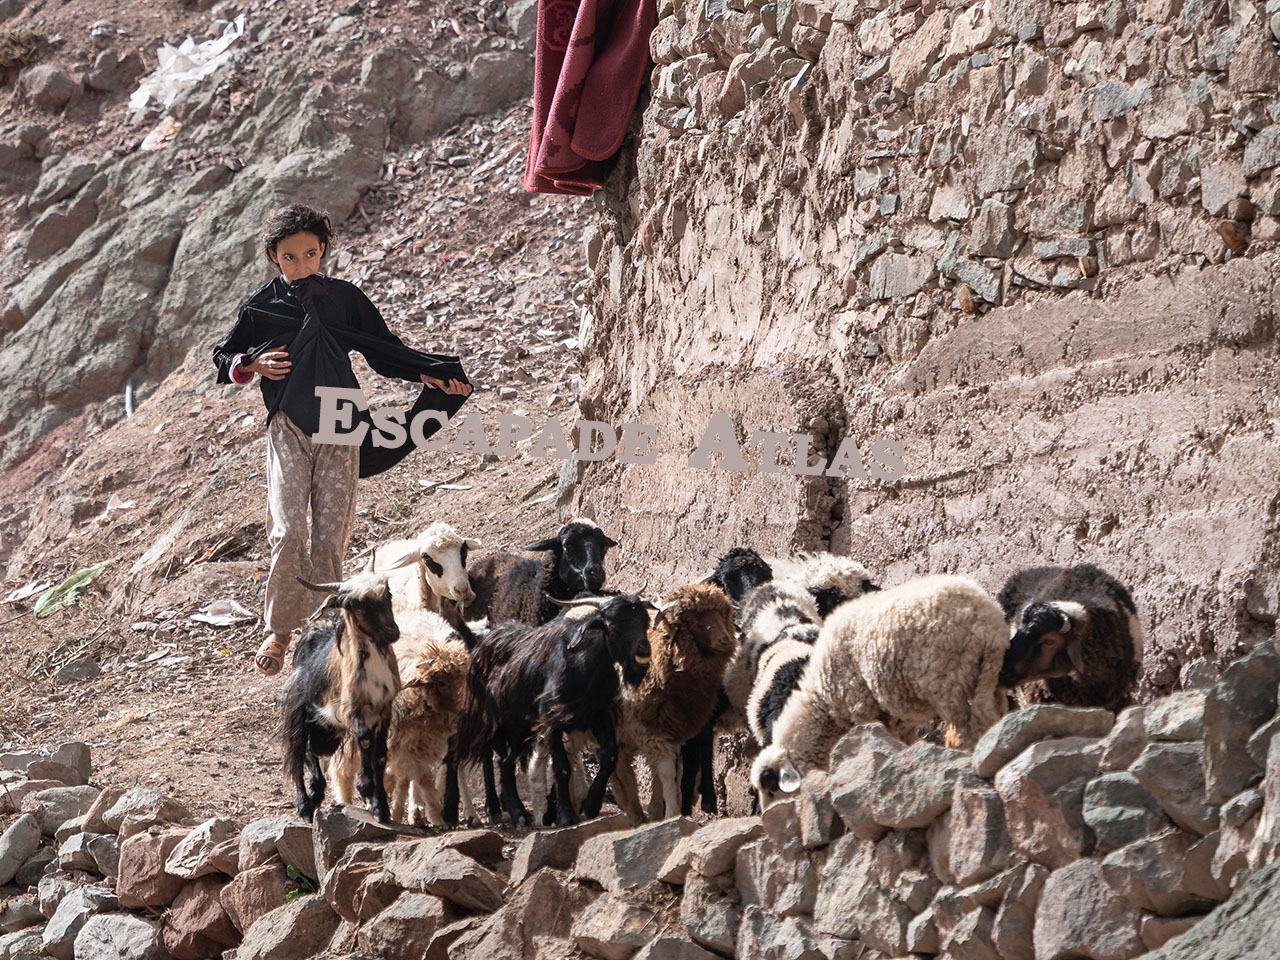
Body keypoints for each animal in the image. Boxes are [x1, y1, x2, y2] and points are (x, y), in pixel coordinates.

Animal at [280, 570, 399, 829]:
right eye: (356, 604)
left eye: (387, 594)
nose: (392, 632)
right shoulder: (349, 711)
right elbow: (364, 738)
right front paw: (365, 787)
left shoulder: (384, 710)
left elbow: (380, 753)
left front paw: (380, 806)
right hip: (301, 713)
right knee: (298, 751)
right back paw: (306, 805)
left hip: (327, 730)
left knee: (311, 749)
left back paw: (317, 793)